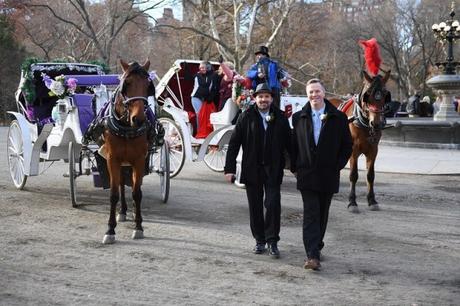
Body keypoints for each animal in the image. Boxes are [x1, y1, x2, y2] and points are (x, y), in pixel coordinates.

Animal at [101, 59, 154, 244]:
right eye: (127, 83)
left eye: (148, 85)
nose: (138, 119)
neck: (126, 127)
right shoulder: (112, 159)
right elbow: (114, 193)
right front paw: (110, 230)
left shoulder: (139, 160)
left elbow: (137, 193)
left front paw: (138, 227)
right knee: (121, 186)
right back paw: (122, 211)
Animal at [328, 69, 390, 213]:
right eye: (368, 94)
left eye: (385, 95)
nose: (376, 123)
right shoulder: (353, 150)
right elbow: (353, 175)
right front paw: (352, 202)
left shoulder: (373, 150)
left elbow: (370, 175)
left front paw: (372, 201)